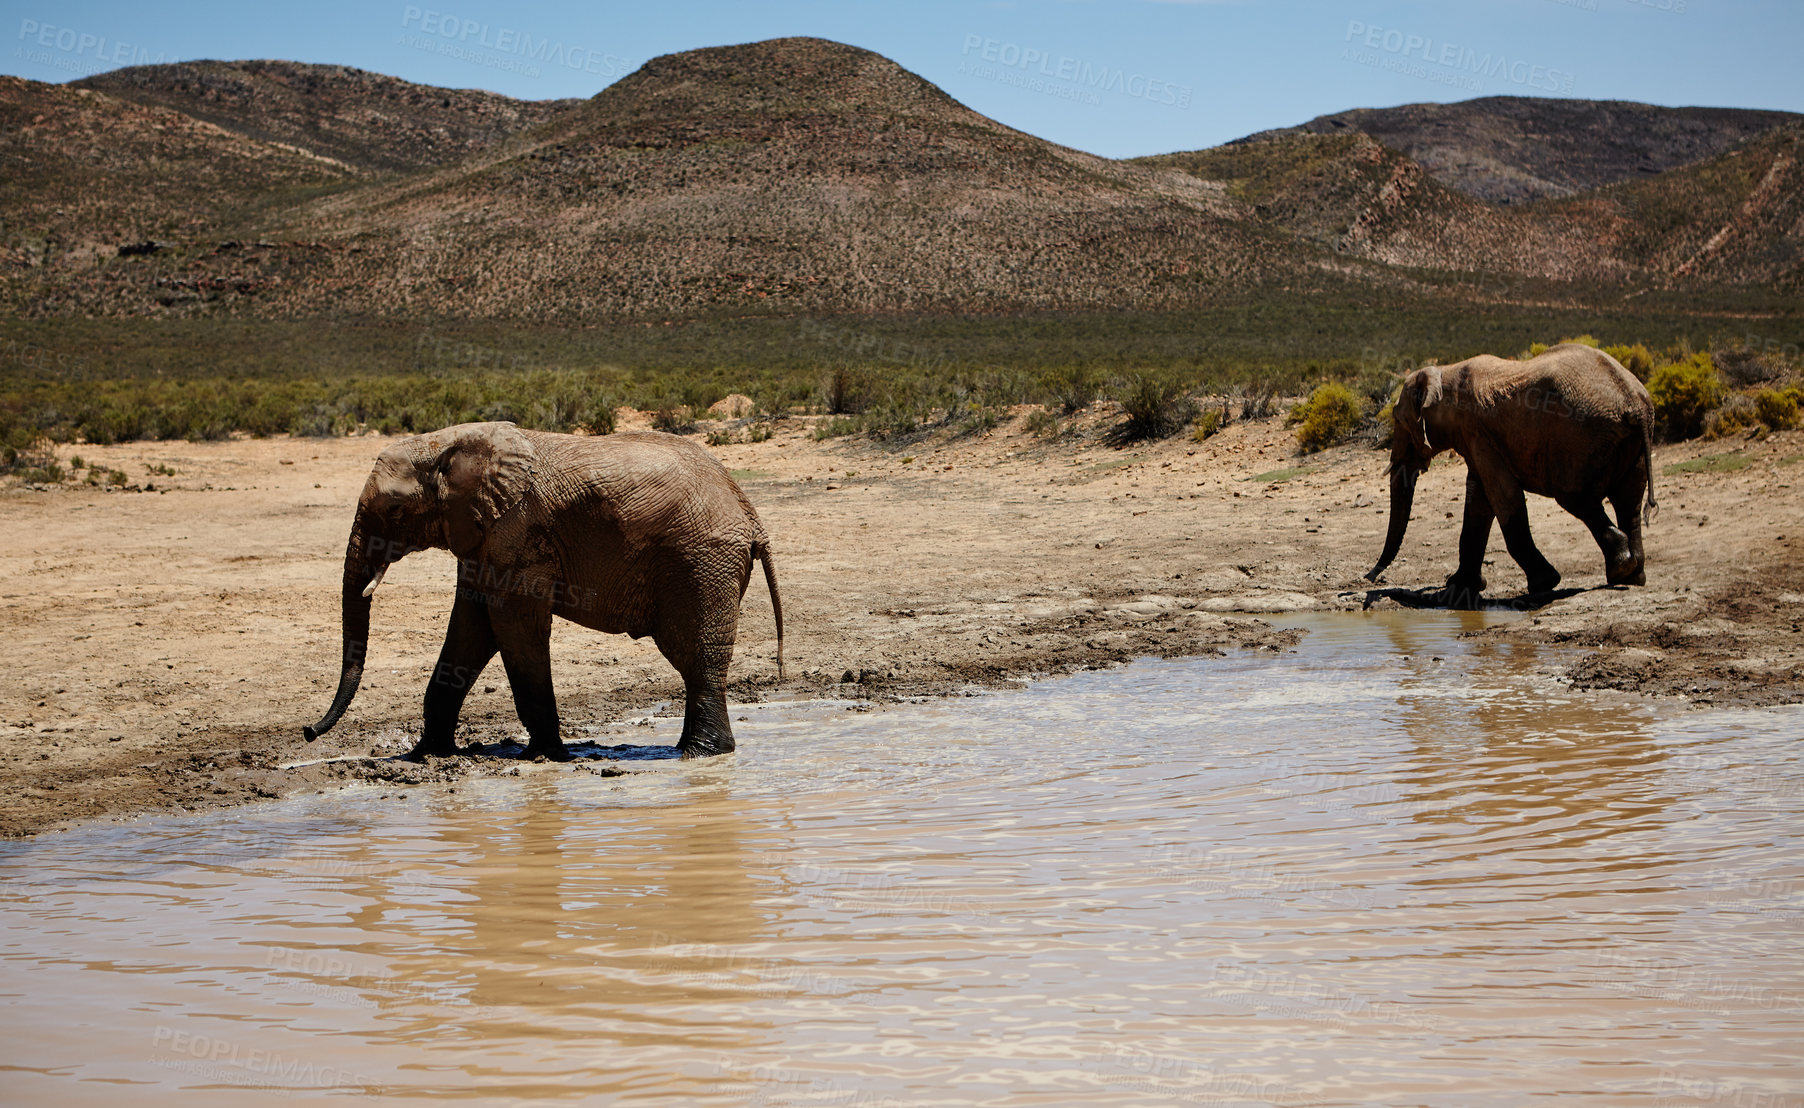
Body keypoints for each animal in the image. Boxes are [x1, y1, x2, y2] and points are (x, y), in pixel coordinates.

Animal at [301, 425, 782, 765]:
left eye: (395, 510)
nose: (308, 731)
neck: (447, 444)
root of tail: (751, 515)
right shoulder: (485, 539)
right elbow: (471, 629)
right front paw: (430, 754)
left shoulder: (516, 531)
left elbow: (513, 628)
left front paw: (545, 755)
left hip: (701, 563)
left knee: (697, 658)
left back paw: (701, 756)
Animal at [1363, 346, 1652, 606]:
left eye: (1397, 420)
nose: (1369, 577)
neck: (1445, 373)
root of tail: (1635, 403)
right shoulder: (1475, 435)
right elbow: (1478, 503)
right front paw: (1459, 587)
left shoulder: (1477, 430)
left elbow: (1503, 496)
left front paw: (1544, 582)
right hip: (1626, 442)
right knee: (1629, 501)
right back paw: (1633, 575)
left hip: (1583, 437)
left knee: (1575, 497)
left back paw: (1621, 567)